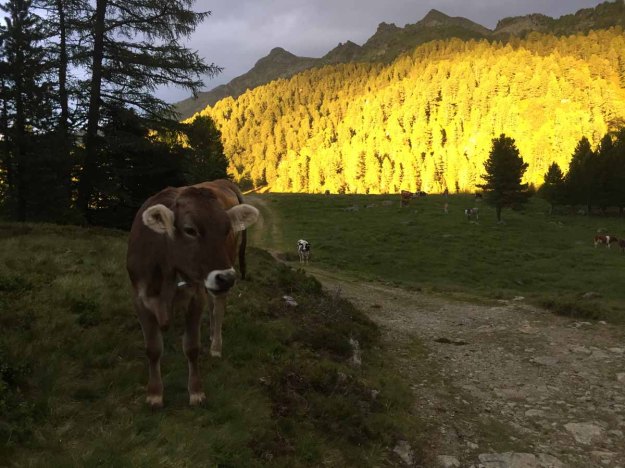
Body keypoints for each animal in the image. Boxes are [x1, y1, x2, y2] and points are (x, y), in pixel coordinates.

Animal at [126, 179, 259, 407]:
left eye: (226, 230)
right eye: (190, 230)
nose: (226, 278)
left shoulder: (196, 298)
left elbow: (191, 347)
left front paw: (196, 392)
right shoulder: (140, 299)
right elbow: (153, 348)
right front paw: (154, 394)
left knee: (218, 310)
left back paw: (215, 346)